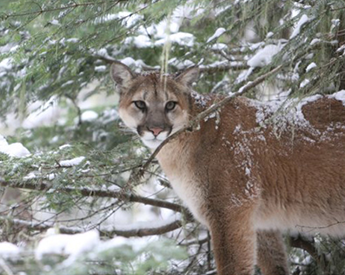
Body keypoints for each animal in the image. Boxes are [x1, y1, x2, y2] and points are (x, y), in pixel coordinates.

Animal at [111, 61, 344, 275]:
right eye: (140, 104)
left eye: (170, 105)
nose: (156, 130)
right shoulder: (261, 223)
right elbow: (275, 265)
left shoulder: (230, 210)